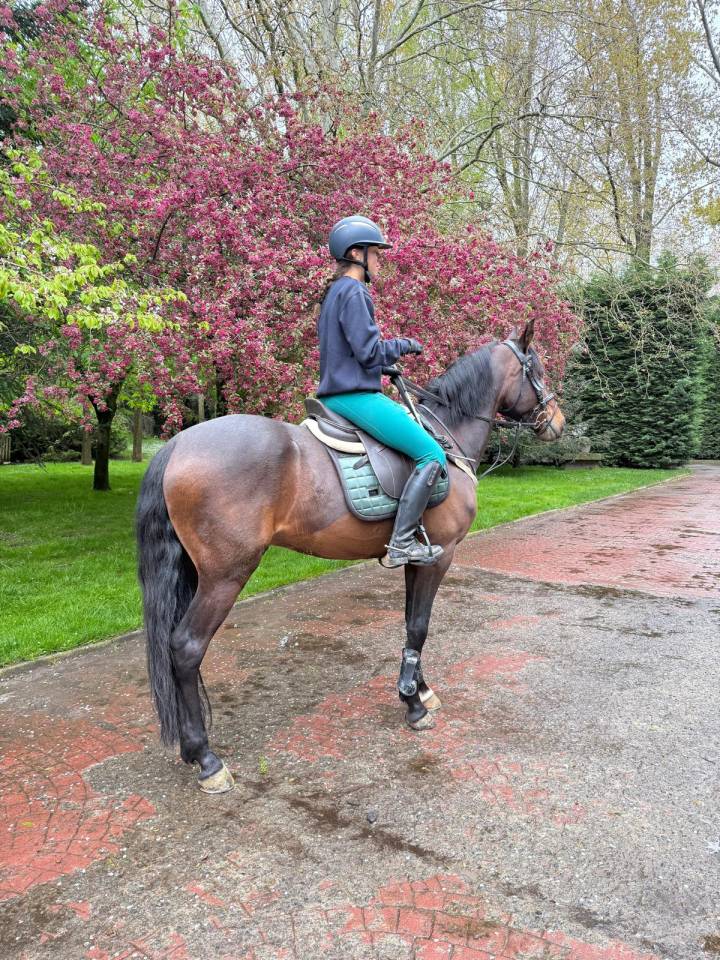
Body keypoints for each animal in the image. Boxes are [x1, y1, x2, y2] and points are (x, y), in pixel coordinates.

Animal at [136, 320, 565, 793]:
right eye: (536, 368)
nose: (558, 422)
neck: (446, 436)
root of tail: (177, 444)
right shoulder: (440, 556)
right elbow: (420, 626)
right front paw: (413, 705)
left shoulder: (416, 558)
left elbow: (412, 625)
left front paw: (420, 690)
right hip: (225, 576)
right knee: (186, 647)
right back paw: (206, 759)